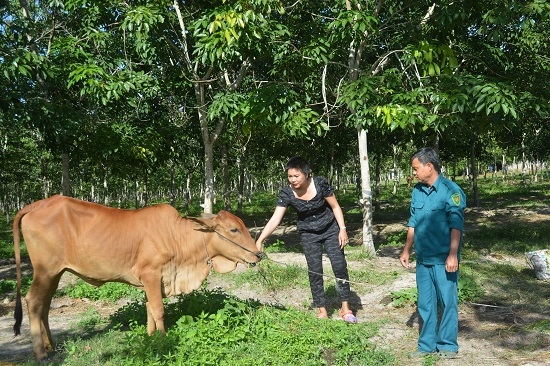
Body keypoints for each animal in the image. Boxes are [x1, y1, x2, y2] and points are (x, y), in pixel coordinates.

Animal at [12, 194, 264, 360]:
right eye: (233, 229)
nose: (258, 254)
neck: (177, 238)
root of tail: (38, 204)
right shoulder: (151, 274)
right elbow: (159, 310)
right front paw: (163, 341)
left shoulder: (150, 281)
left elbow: (149, 309)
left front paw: (150, 337)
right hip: (45, 270)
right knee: (33, 302)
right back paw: (40, 353)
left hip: (55, 273)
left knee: (44, 306)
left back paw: (51, 346)